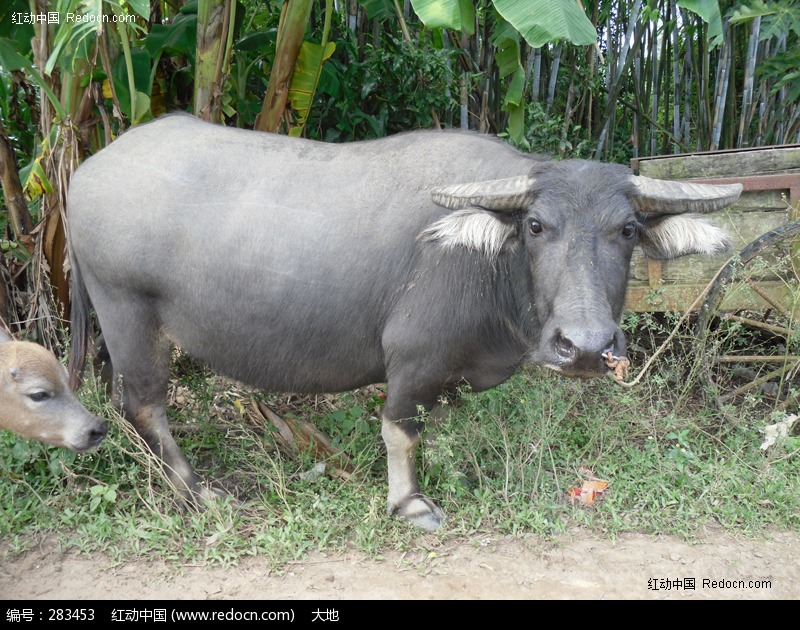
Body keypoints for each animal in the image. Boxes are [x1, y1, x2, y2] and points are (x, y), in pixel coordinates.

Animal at [65, 115, 740, 532]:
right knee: (142, 403)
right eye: (536, 225)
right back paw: (194, 490)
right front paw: (410, 503)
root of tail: (83, 175)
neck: (487, 264)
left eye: (626, 229)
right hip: (128, 312)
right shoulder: (414, 359)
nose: (587, 348)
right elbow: (402, 431)